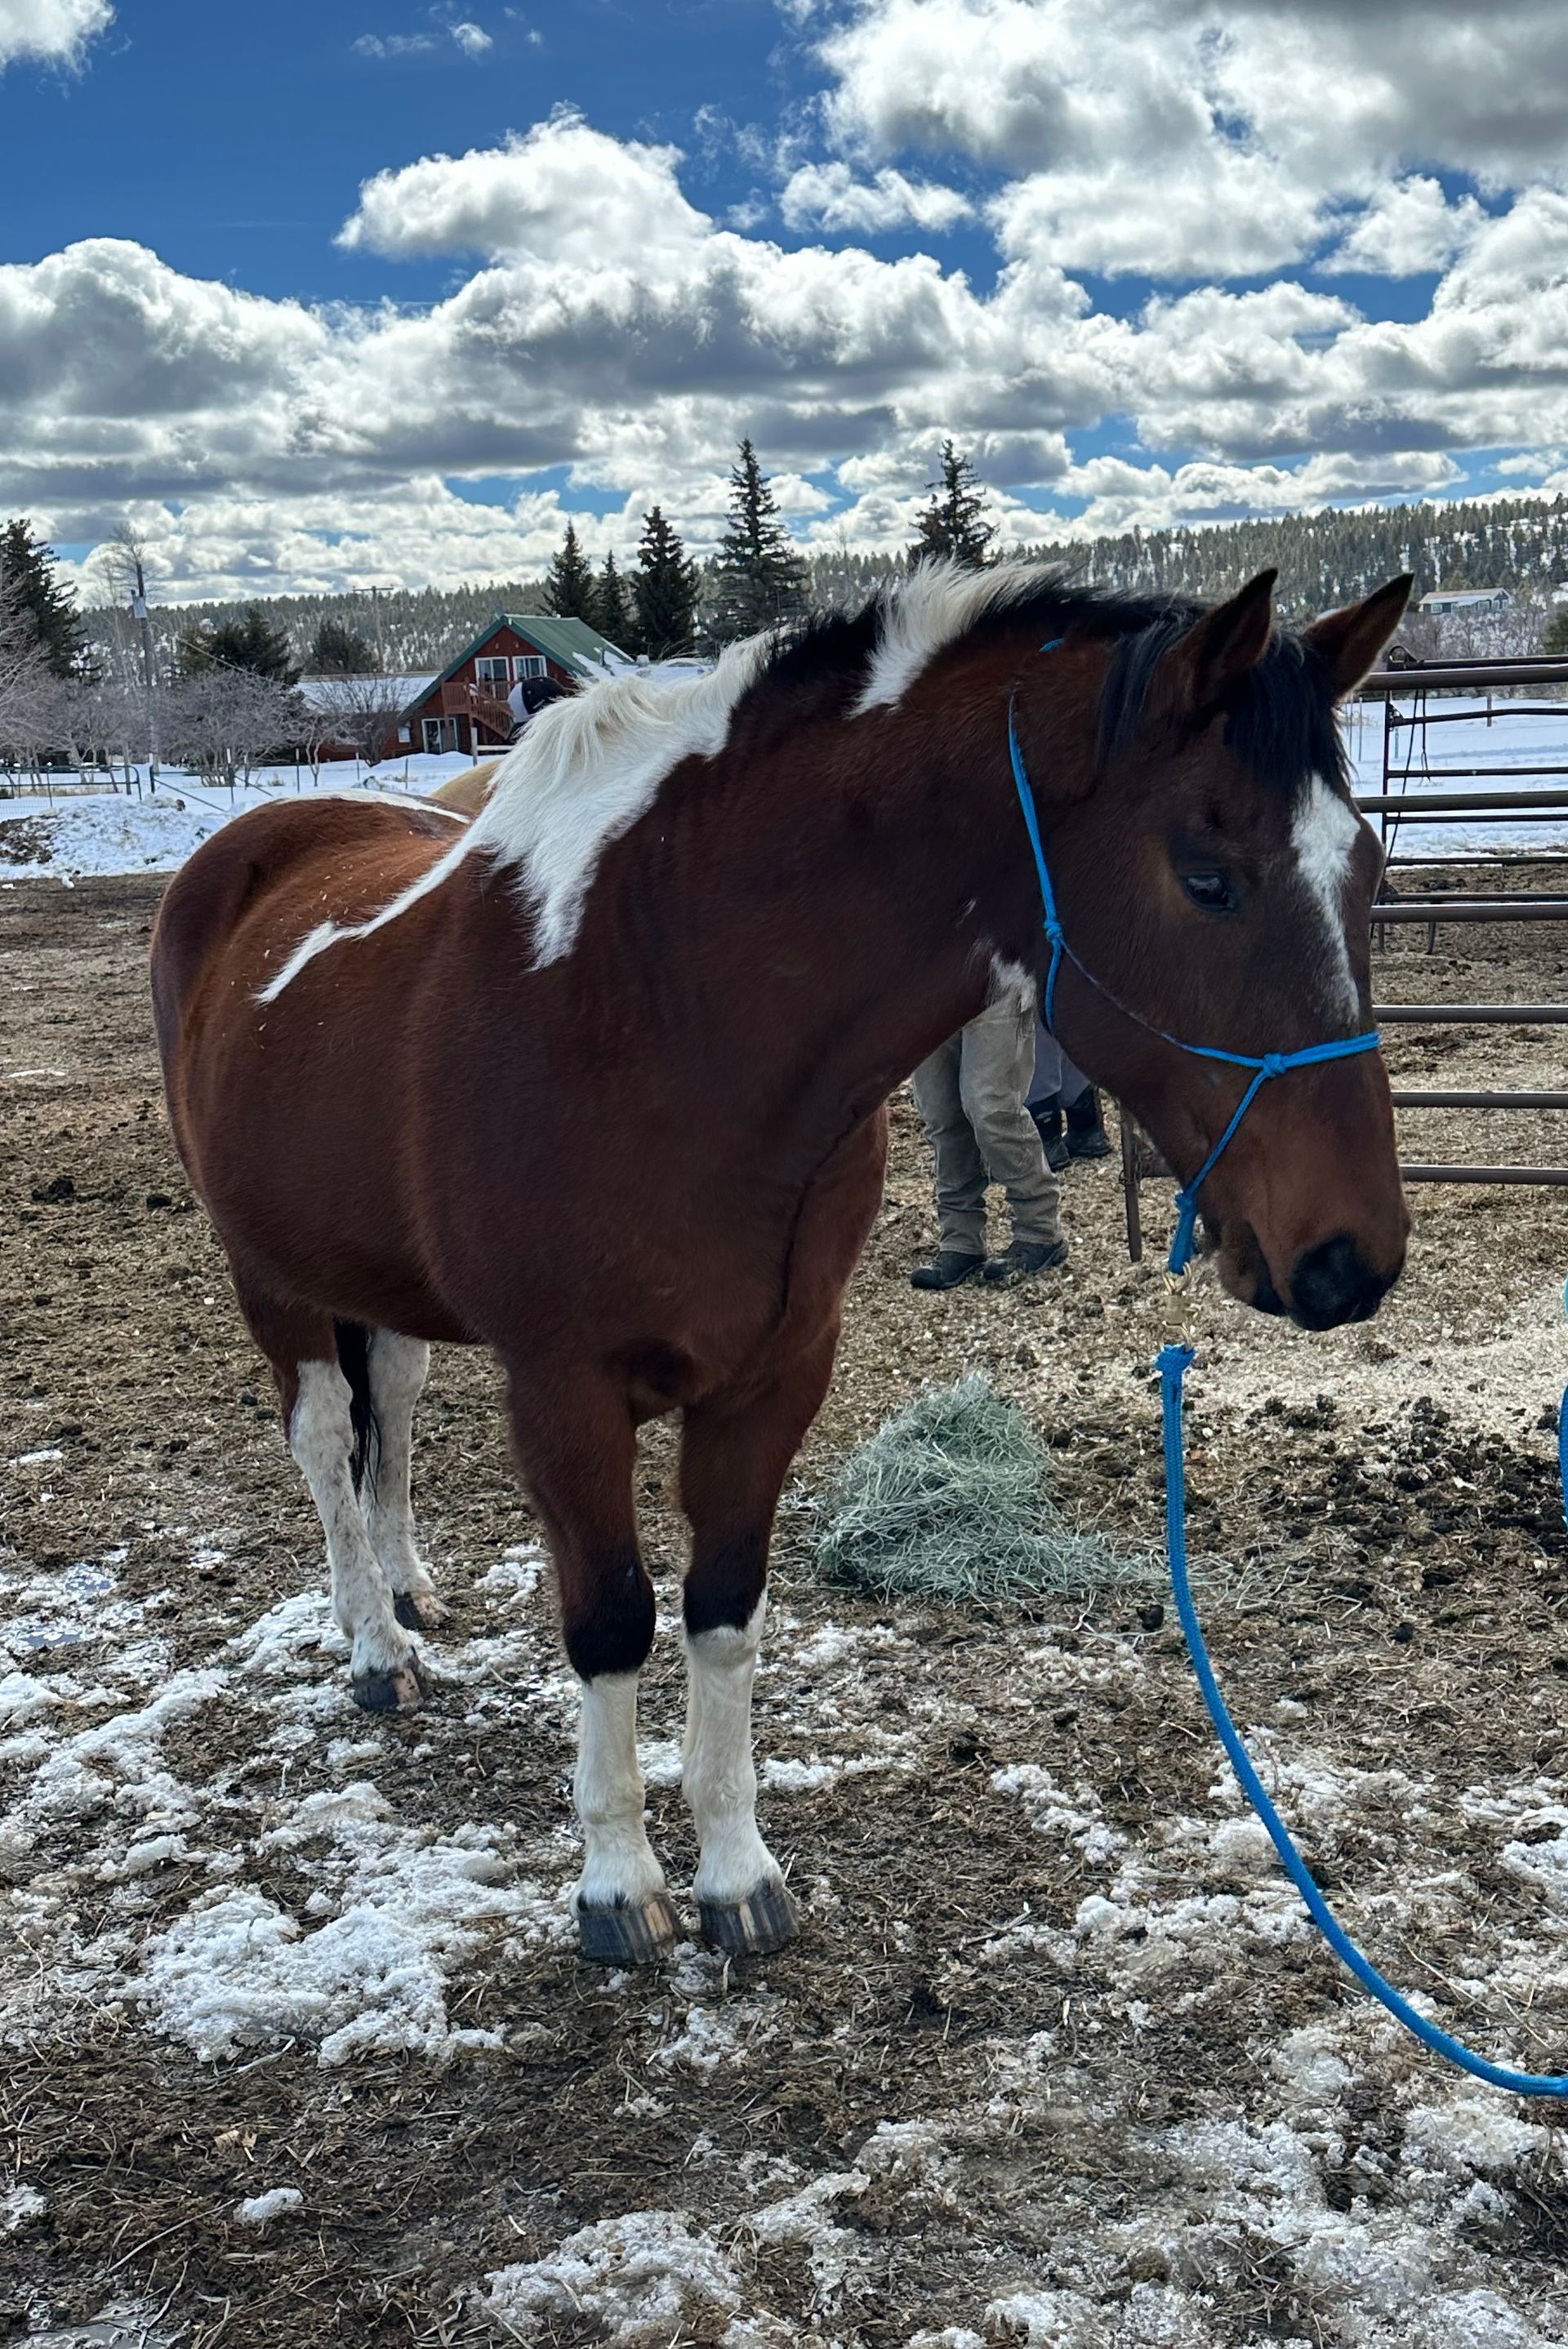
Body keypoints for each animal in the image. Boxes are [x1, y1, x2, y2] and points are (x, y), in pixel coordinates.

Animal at [149, 560, 1412, 1963]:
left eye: (1366, 870)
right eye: (1207, 878)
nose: (1351, 1257)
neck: (660, 1008)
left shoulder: (775, 1372)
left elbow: (722, 1606)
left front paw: (736, 1873)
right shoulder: (564, 1391)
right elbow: (610, 1618)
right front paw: (617, 1886)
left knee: (399, 1416)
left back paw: (411, 1590)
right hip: (271, 1274)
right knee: (327, 1443)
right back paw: (377, 1649)